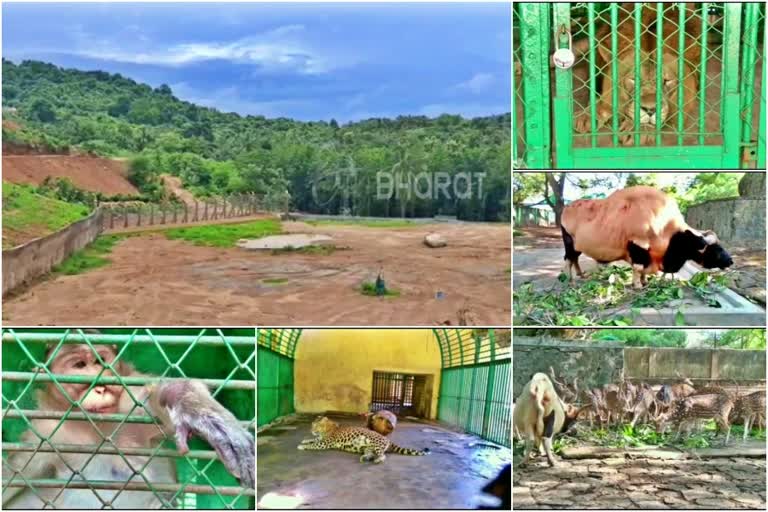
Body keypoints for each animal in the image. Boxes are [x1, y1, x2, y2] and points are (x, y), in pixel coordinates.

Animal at [3, 342, 255, 510]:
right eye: (80, 364)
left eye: (101, 361)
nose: (100, 385)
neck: (96, 429)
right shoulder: (45, 434)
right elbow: (13, 475)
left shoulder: (132, 405)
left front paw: (191, 406)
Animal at [298, 416, 432, 464]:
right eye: (312, 425)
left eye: (316, 426)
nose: (312, 430)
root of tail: (387, 440)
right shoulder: (319, 439)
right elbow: (312, 439)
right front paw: (304, 441)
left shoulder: (325, 443)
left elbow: (314, 444)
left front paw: (303, 446)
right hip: (367, 447)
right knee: (370, 453)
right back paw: (365, 458)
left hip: (376, 444)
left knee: (383, 456)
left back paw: (377, 460)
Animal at [560, 185, 732, 288]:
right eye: (716, 249)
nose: (731, 261)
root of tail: (567, 208)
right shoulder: (638, 246)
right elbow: (638, 268)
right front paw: (637, 286)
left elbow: (643, 270)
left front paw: (644, 282)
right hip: (569, 244)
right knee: (568, 259)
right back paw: (570, 279)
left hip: (577, 247)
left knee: (574, 259)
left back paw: (580, 275)